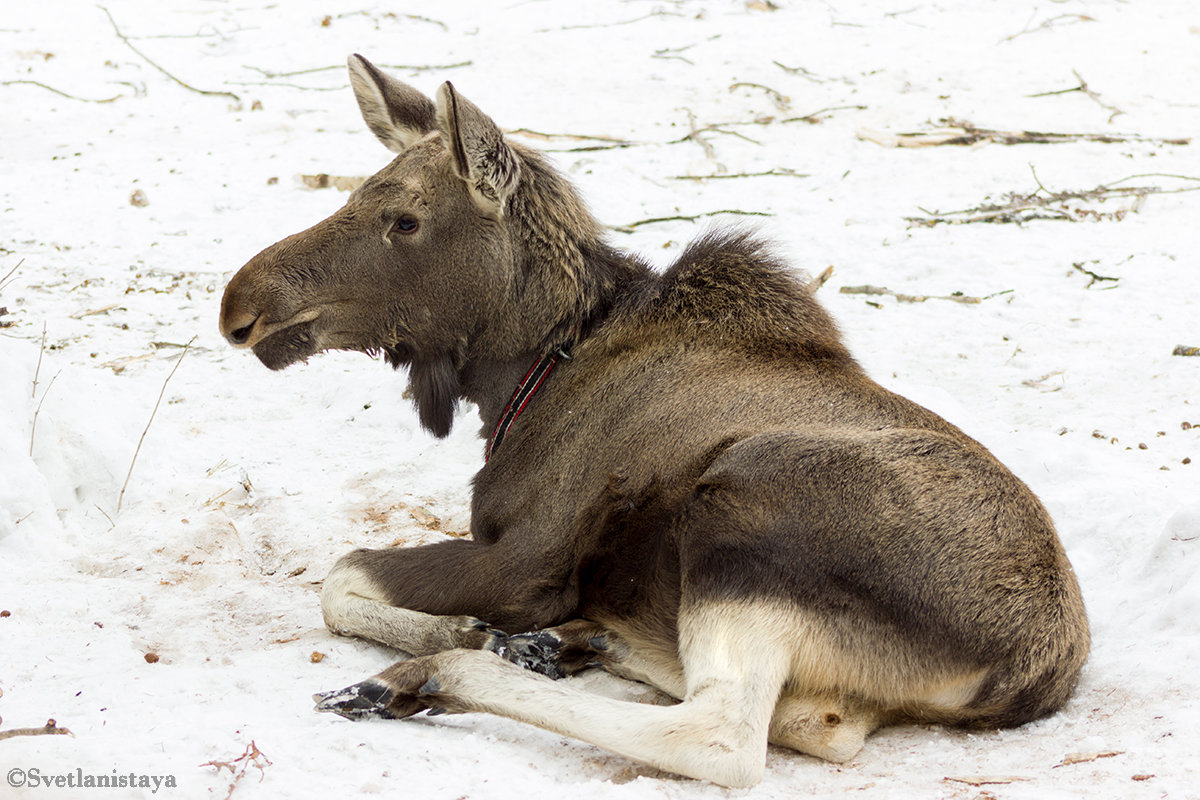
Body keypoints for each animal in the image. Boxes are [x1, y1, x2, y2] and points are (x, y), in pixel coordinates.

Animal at [216, 54, 1089, 786]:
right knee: (809, 719)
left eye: (404, 219)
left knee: (721, 735)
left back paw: (448, 671)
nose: (240, 307)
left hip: (745, 500)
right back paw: (568, 644)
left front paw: (467, 634)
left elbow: (340, 579)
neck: (523, 377)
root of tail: (1028, 666)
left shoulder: (527, 560)